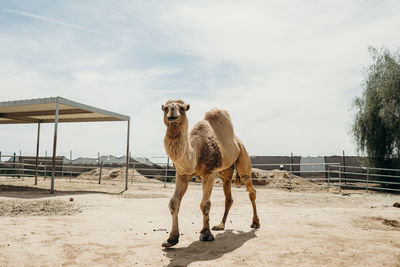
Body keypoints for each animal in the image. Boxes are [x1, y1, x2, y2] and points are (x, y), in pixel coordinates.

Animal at [161, 99, 260, 248]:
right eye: (165, 108)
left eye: (183, 108)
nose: (172, 109)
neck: (196, 151)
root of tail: (238, 141)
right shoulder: (182, 174)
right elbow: (173, 203)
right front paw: (171, 239)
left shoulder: (210, 173)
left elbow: (205, 204)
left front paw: (206, 234)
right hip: (226, 171)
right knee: (229, 197)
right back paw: (220, 225)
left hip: (243, 159)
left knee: (251, 190)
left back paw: (255, 223)